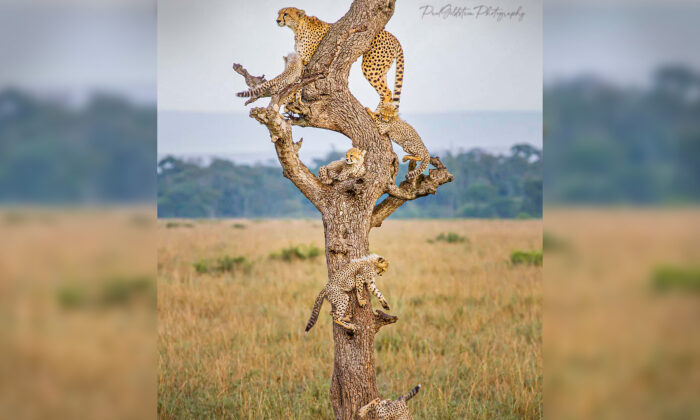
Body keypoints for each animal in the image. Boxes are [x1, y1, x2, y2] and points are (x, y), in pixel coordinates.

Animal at [274, 6, 404, 117]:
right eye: (279, 13)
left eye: (285, 14)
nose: (277, 20)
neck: (297, 28)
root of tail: (393, 37)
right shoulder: (301, 61)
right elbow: (296, 82)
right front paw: (290, 101)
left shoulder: (308, 61)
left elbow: (299, 83)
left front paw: (295, 100)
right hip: (381, 68)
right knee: (385, 92)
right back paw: (377, 115)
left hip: (371, 67)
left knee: (387, 93)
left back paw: (376, 115)